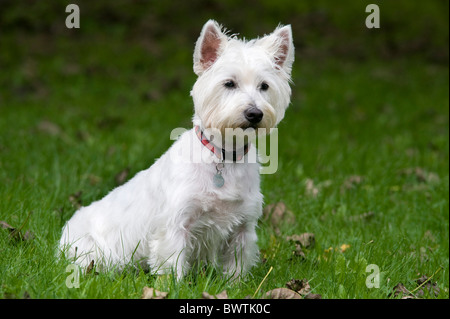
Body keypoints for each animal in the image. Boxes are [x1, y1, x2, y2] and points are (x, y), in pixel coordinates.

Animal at [58, 20, 294, 280]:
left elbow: (236, 266)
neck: (224, 155)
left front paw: (234, 284)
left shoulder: (243, 226)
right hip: (90, 248)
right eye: (229, 83)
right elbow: (173, 264)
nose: (255, 114)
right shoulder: (176, 225)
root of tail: (63, 234)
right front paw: (173, 284)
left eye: (264, 86)